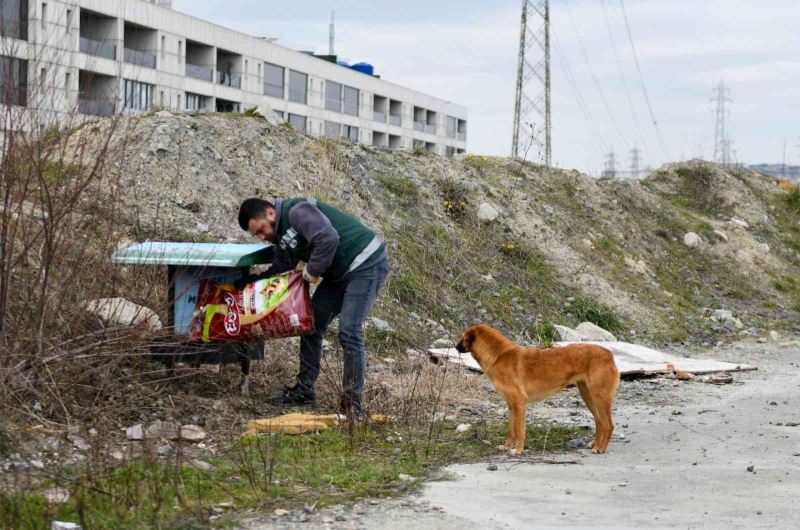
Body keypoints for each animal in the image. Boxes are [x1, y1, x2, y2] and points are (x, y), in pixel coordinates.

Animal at [456, 322, 620, 454]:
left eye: (462, 337)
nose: (455, 347)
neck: (498, 356)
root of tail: (609, 354)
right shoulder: (511, 405)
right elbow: (511, 429)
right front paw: (507, 446)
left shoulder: (519, 403)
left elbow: (519, 430)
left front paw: (518, 450)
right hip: (588, 396)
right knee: (599, 422)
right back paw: (595, 444)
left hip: (599, 397)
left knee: (608, 425)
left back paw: (600, 448)